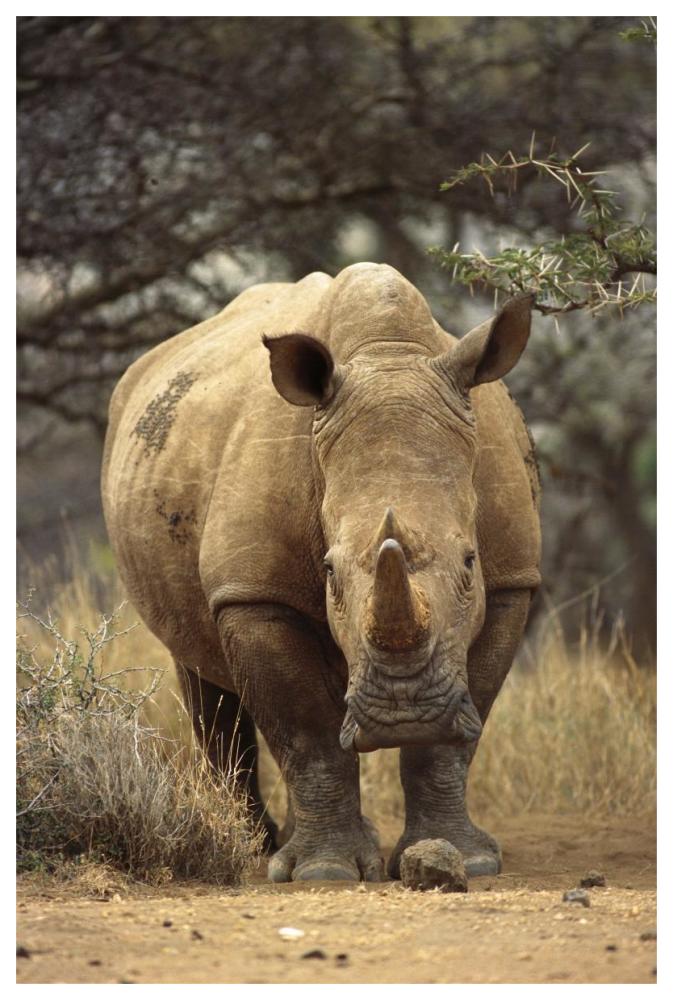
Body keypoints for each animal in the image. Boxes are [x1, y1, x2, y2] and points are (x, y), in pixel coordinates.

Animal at [101, 262, 541, 882]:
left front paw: (469, 860)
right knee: (201, 674)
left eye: (469, 563)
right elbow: (305, 728)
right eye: (329, 572)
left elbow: (451, 741)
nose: (403, 714)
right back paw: (257, 845)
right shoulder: (256, 593)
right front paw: (323, 872)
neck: (387, 356)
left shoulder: (511, 579)